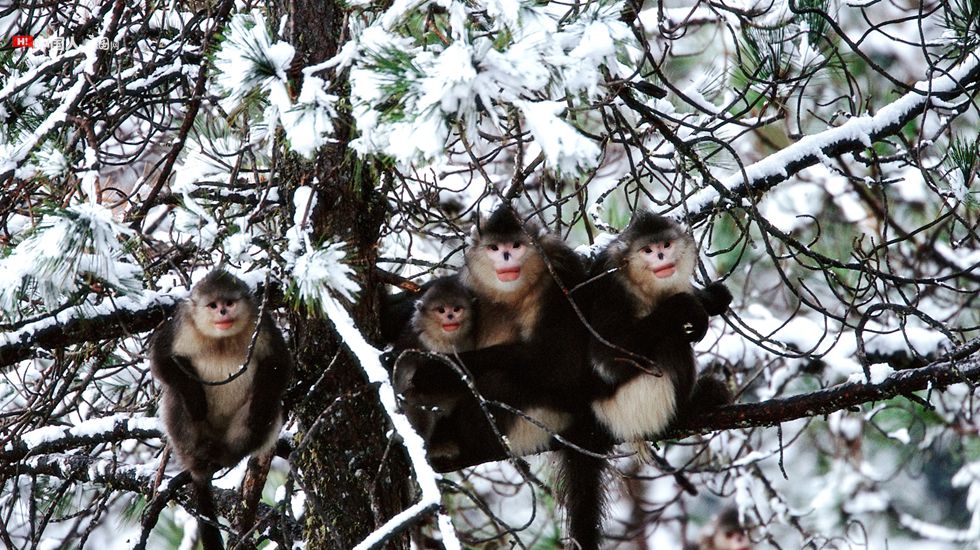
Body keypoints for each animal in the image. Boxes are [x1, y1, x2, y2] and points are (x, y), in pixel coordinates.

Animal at [145, 272, 290, 550]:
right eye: (213, 305)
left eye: (229, 302)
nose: (223, 311)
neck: (221, 340)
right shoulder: (181, 326)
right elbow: (160, 360)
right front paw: (195, 399)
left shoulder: (261, 322)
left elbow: (279, 362)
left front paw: (258, 409)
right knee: (175, 397)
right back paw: (202, 456)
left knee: (269, 408)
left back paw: (226, 454)